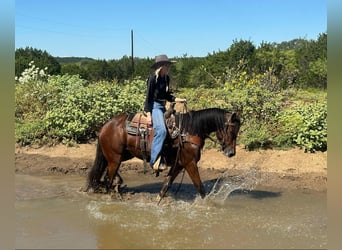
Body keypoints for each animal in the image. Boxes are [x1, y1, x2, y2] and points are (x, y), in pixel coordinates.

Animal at [85, 106, 240, 203]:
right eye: (231, 130)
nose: (231, 153)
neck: (189, 131)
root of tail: (105, 126)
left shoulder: (179, 163)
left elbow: (167, 183)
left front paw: (158, 201)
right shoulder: (190, 163)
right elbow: (200, 187)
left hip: (122, 156)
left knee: (107, 175)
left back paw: (117, 185)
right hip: (115, 158)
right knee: (108, 179)